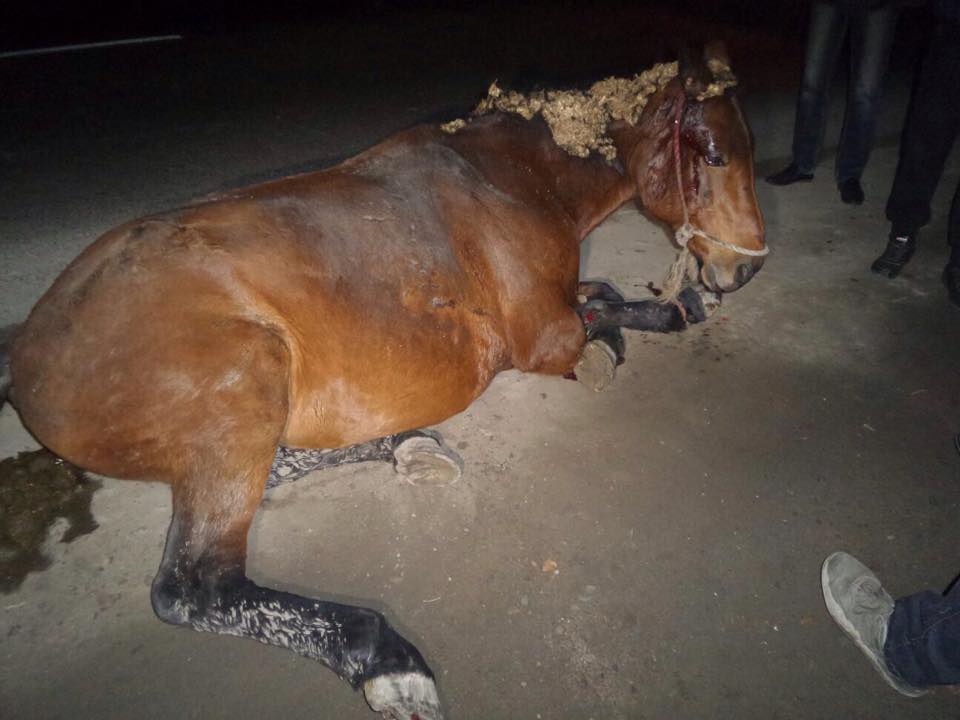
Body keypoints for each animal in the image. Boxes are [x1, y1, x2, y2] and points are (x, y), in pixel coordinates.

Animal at [0, 46, 765, 719]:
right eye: (714, 156)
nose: (747, 267)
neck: (513, 178)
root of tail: (26, 356)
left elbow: (600, 291)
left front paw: (670, 306)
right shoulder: (543, 336)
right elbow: (600, 313)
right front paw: (664, 315)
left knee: (280, 465)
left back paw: (408, 447)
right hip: (245, 380)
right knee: (195, 587)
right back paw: (382, 658)